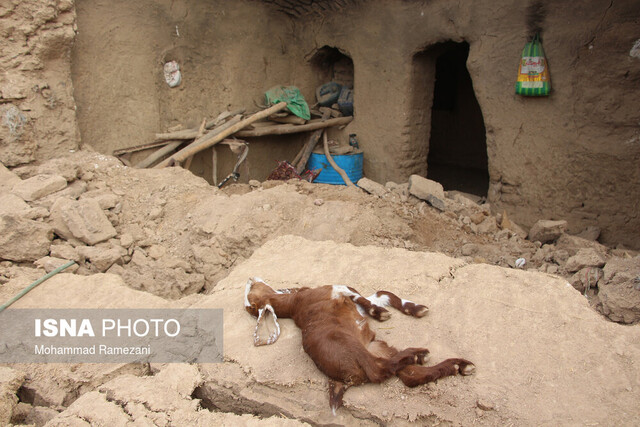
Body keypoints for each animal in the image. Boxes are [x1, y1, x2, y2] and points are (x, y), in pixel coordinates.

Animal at [242, 278, 472, 414]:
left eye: (250, 290)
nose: (250, 278)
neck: (293, 302)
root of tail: (340, 379)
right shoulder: (338, 289)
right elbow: (366, 296)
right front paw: (384, 313)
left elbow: (382, 294)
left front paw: (411, 309)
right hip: (351, 346)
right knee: (380, 369)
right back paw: (421, 354)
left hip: (377, 347)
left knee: (411, 376)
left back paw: (458, 365)